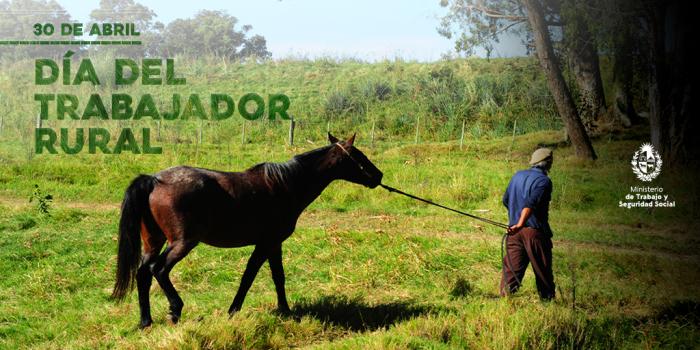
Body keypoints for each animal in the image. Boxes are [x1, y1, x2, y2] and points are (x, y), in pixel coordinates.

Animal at [110, 133, 382, 328]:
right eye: (358, 156)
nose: (379, 175)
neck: (286, 185)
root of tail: (154, 180)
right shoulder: (267, 243)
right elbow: (252, 277)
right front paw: (239, 311)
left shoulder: (273, 244)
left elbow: (275, 277)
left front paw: (282, 310)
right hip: (182, 242)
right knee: (159, 270)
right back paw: (175, 309)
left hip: (153, 242)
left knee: (143, 274)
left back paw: (145, 321)